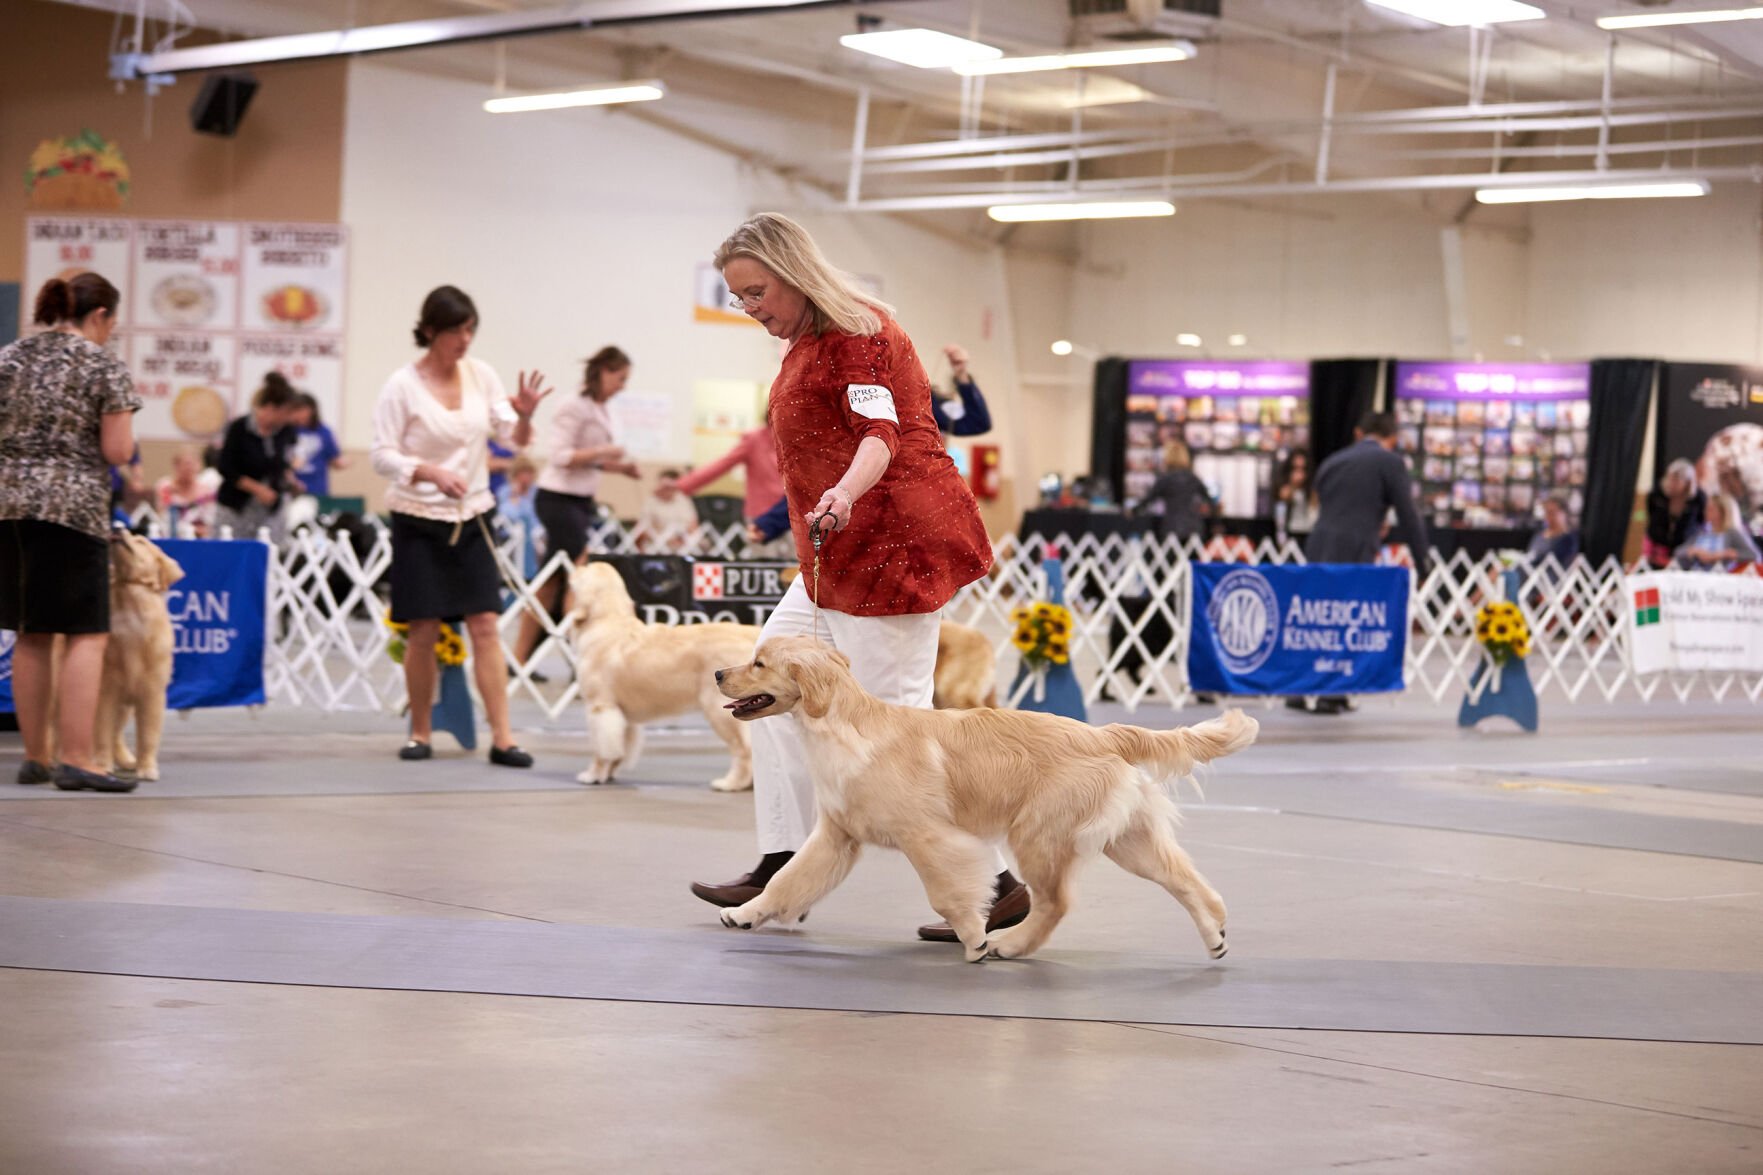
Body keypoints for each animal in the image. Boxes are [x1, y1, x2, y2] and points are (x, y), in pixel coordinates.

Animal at [708, 635, 1262, 959]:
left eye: (758, 663)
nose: (716, 673)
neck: (845, 726)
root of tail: (1105, 734)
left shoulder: (929, 837)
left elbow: (946, 891)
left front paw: (973, 936)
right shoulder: (836, 837)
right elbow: (787, 879)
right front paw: (745, 912)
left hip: (1039, 835)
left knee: (1055, 902)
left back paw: (1008, 944)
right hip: (1126, 839)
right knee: (1184, 878)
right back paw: (1215, 935)